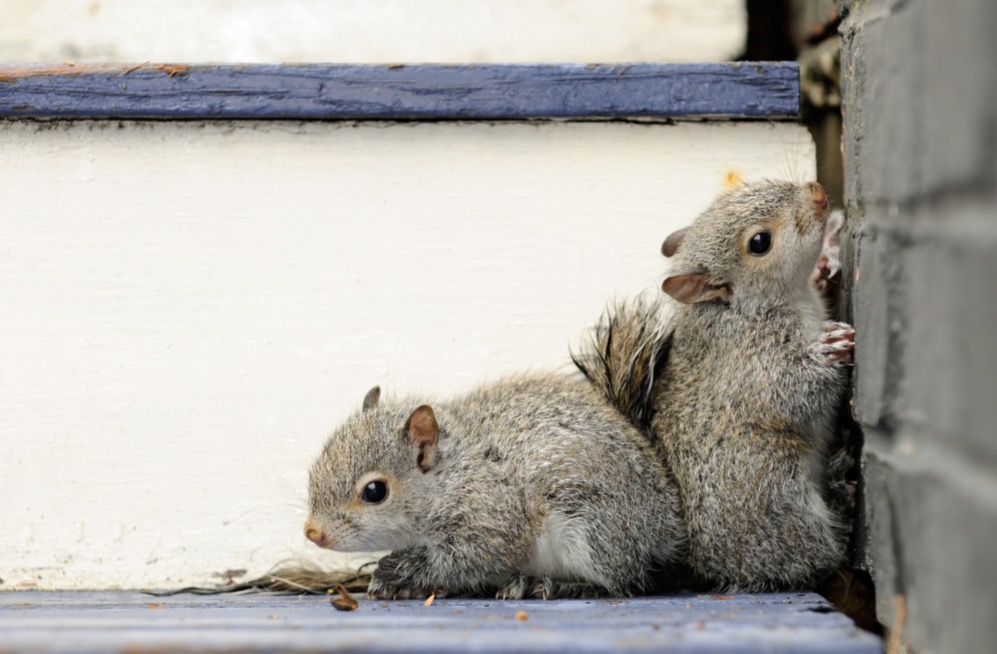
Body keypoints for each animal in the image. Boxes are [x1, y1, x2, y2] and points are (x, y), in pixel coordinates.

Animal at [304, 374, 687, 600]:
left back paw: (549, 584)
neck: (451, 477)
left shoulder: (490, 517)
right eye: (316, 469)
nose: (312, 533)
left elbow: (470, 558)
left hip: (590, 527)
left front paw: (401, 570)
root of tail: (665, 520)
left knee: (622, 579)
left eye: (375, 492)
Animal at [574, 180, 854, 591]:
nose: (817, 192)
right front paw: (831, 350)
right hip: (777, 507)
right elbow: (793, 393)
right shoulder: (752, 365)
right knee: (810, 560)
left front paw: (824, 259)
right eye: (759, 242)